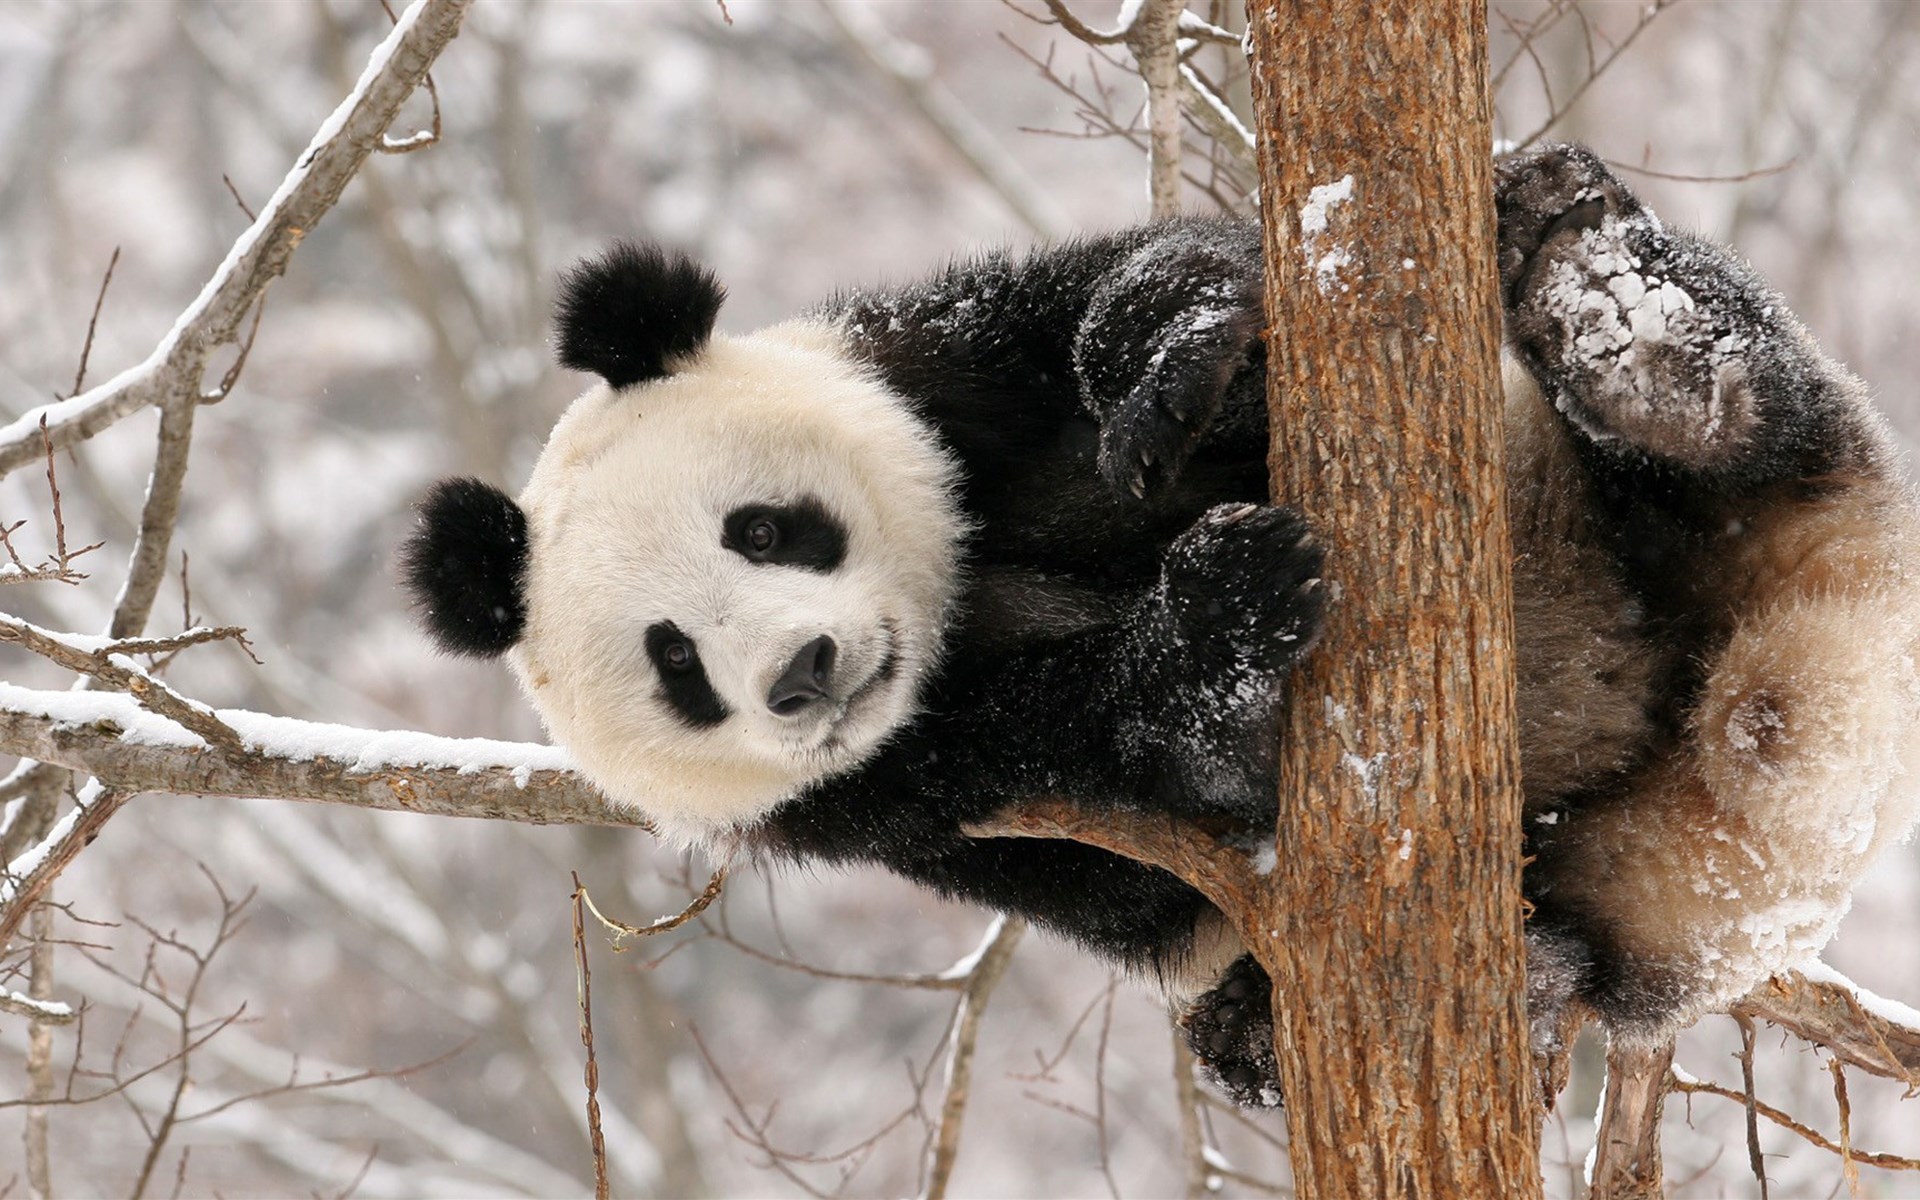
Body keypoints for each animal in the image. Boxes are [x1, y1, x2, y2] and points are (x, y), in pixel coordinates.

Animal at [401, 144, 1920, 1105]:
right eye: (676, 664)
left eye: (766, 529)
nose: (806, 671)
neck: (953, 611)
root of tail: (1783, 719)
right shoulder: (882, 800)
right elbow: (1126, 813)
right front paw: (1224, 612)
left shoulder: (935, 370)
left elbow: (1129, 307)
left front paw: (1169, 356)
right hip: (1630, 874)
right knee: (1589, 944)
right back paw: (1419, 998)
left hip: (1695, 492)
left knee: (1753, 420)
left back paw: (1621, 316)